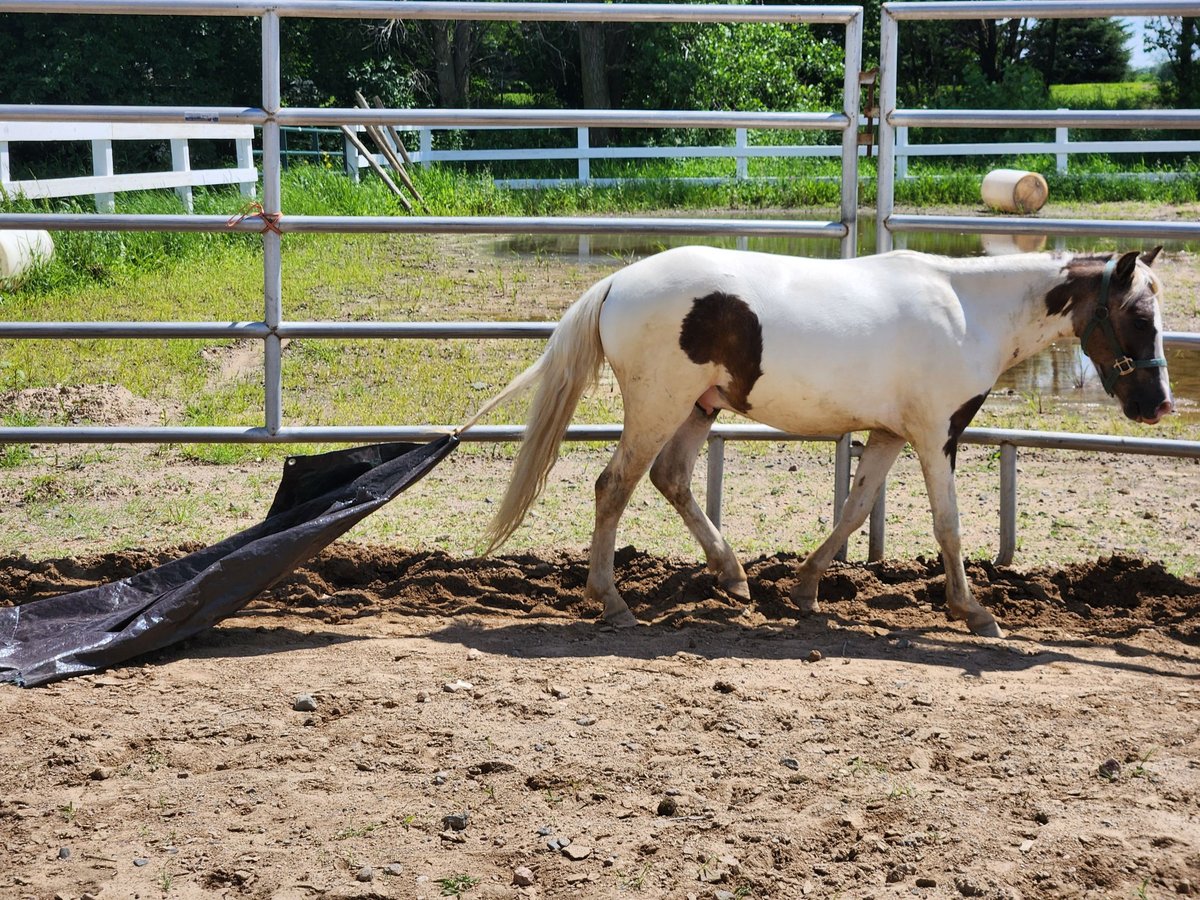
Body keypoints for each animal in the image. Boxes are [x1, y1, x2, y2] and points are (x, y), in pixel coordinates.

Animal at [465, 250, 1171, 638]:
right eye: (1139, 315)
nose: (1159, 404)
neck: (968, 311)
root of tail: (617, 283)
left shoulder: (889, 434)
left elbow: (855, 511)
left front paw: (803, 589)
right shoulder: (936, 434)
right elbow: (948, 526)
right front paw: (974, 612)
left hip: (698, 407)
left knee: (672, 479)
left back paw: (734, 578)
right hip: (657, 406)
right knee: (615, 486)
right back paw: (613, 603)